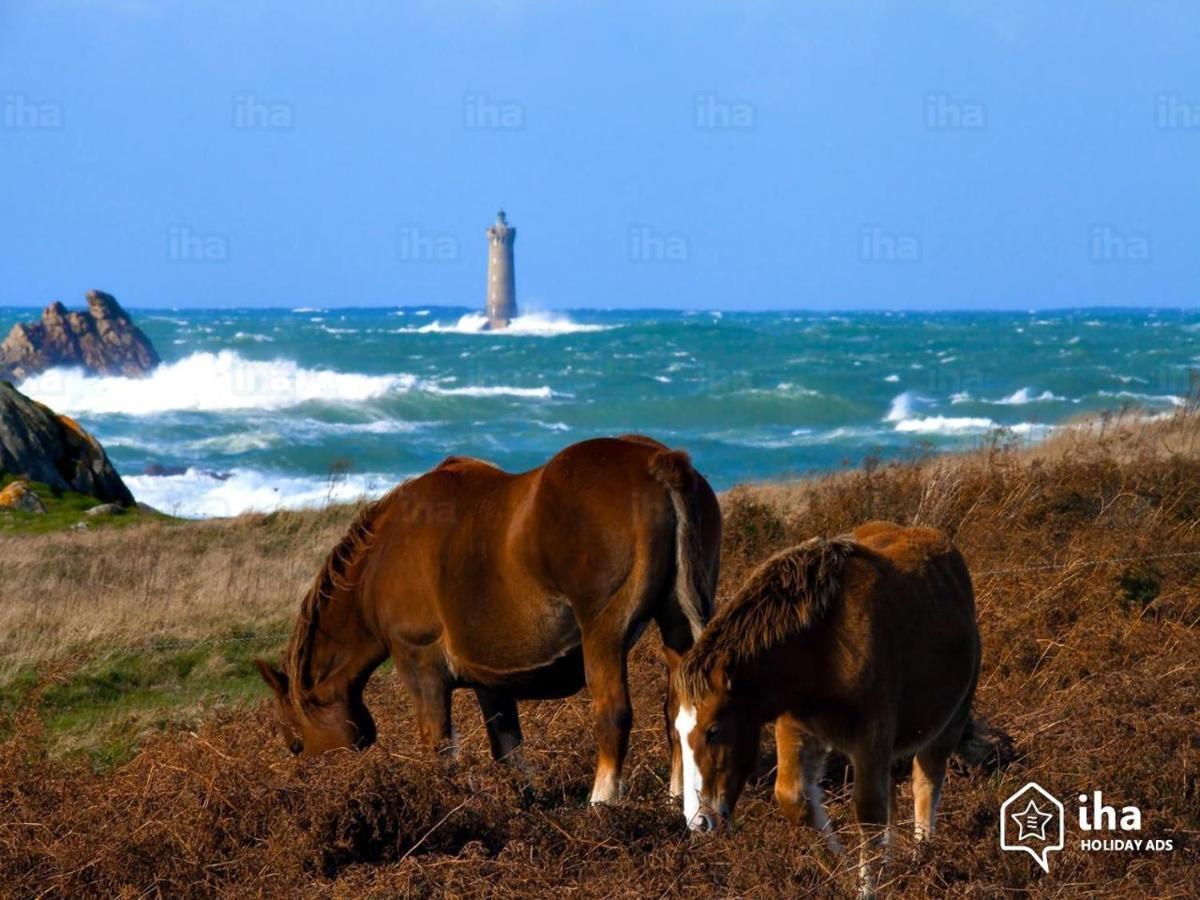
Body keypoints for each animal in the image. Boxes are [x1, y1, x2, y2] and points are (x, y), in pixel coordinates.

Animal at [256, 434, 715, 801]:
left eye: (295, 742)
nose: (308, 784)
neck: (383, 553)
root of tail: (656, 461)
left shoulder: (421, 666)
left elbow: (439, 746)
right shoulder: (491, 681)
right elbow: (508, 748)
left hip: (603, 635)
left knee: (613, 713)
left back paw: (601, 803)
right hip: (678, 625)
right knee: (680, 707)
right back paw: (681, 802)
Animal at [672, 518, 979, 897]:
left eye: (714, 730)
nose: (699, 821)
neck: (821, 646)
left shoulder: (871, 737)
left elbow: (868, 813)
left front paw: (867, 887)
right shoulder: (796, 727)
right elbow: (794, 798)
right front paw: (842, 872)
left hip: (950, 722)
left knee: (926, 783)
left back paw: (920, 860)